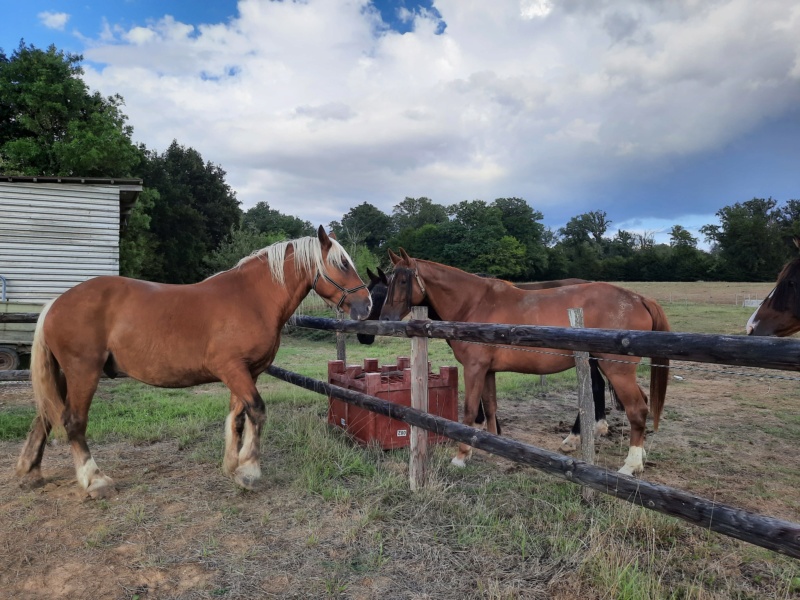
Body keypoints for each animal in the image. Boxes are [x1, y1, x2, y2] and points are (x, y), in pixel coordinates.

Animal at [14, 227, 372, 500]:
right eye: (342, 263)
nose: (367, 304)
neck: (251, 298)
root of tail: (55, 303)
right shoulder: (233, 369)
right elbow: (256, 411)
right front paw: (250, 471)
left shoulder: (247, 372)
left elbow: (237, 417)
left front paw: (232, 465)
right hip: (83, 372)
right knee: (73, 422)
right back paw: (95, 480)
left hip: (64, 374)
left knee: (44, 418)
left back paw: (30, 472)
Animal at [356, 270, 612, 448]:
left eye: (379, 293)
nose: (362, 335)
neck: (467, 304)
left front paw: (481, 426)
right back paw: (595, 429)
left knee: (595, 386)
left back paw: (577, 435)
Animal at [382, 247, 668, 474]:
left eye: (404, 280)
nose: (385, 319)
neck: (475, 303)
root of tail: (638, 298)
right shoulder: (488, 371)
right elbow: (491, 406)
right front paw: (491, 446)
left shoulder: (474, 369)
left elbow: (471, 411)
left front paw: (462, 455)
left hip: (616, 370)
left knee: (637, 409)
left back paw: (630, 465)